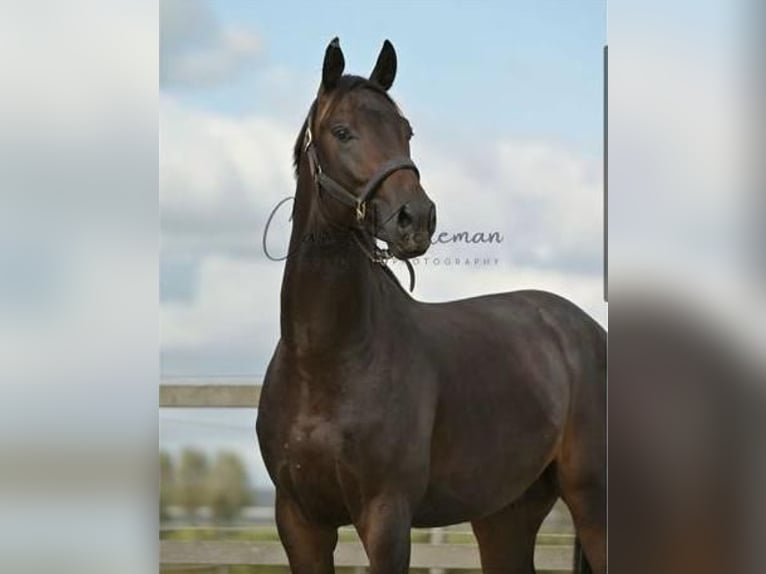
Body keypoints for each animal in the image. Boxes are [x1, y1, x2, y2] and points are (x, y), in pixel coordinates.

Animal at [256, 38, 608, 572]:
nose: (416, 218)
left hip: (593, 502)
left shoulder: (386, 517)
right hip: (506, 513)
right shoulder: (299, 522)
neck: (325, 361)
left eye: (406, 131)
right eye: (342, 132)